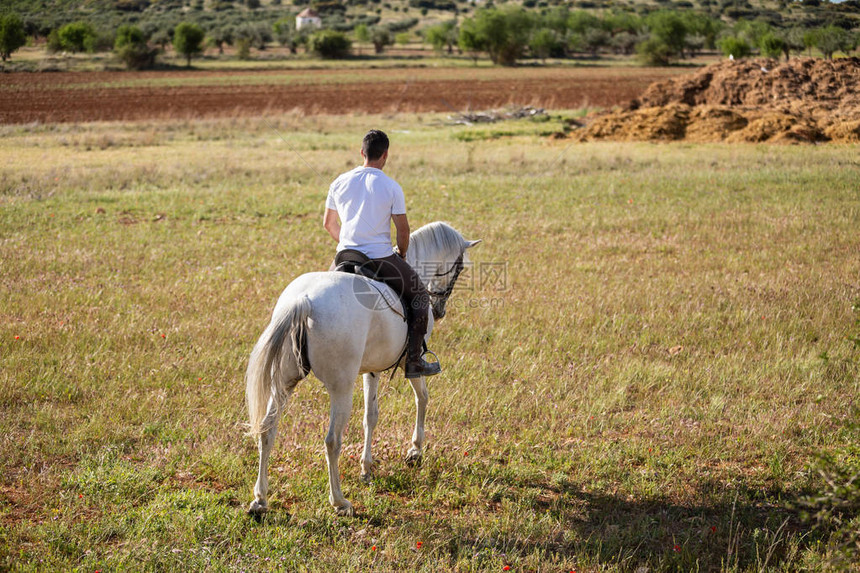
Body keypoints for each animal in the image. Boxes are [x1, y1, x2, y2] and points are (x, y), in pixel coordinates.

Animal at [245, 221, 480, 516]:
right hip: (341, 387)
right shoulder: (410, 360)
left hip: (284, 380)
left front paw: (366, 469)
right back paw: (339, 501)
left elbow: (371, 416)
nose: (439, 311)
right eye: (459, 268)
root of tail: (303, 301)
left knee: (268, 428)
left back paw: (260, 500)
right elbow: (422, 397)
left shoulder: (372, 368)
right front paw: (415, 451)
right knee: (332, 440)